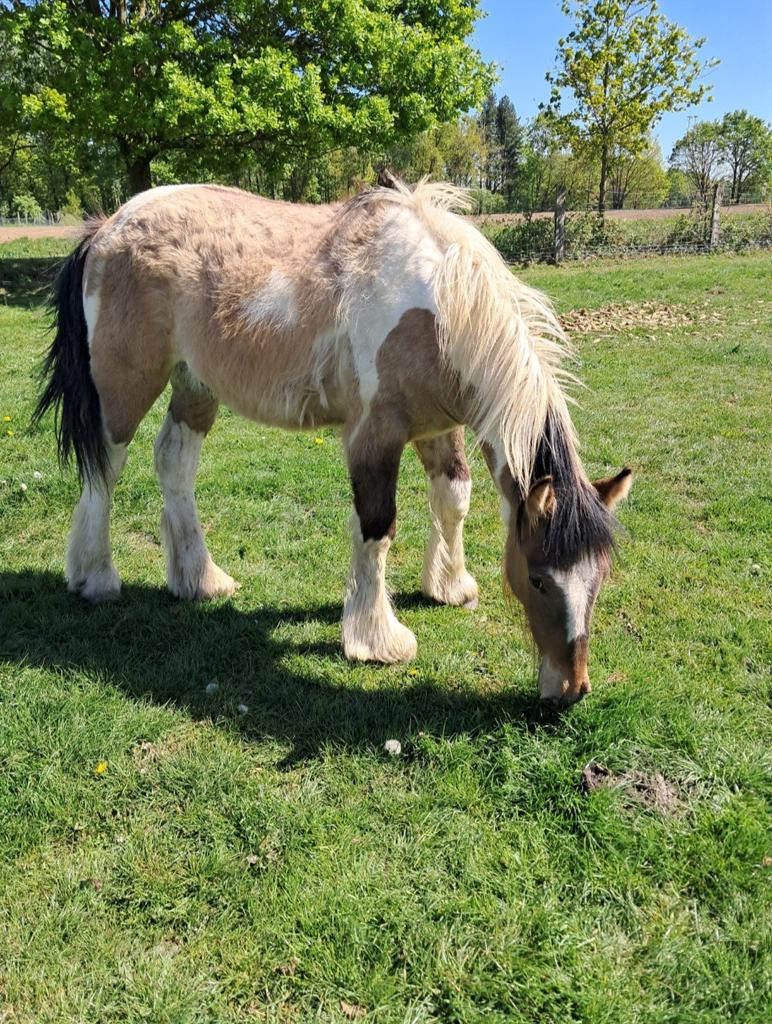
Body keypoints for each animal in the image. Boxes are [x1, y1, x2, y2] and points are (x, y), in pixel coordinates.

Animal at [34, 179, 632, 706]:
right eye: (538, 580)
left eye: (599, 576)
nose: (572, 689)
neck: (437, 304)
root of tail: (108, 225)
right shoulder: (374, 434)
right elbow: (377, 527)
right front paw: (377, 641)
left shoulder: (441, 428)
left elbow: (453, 500)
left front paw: (450, 586)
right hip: (124, 389)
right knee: (106, 470)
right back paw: (94, 578)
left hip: (194, 386)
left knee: (173, 464)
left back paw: (200, 580)